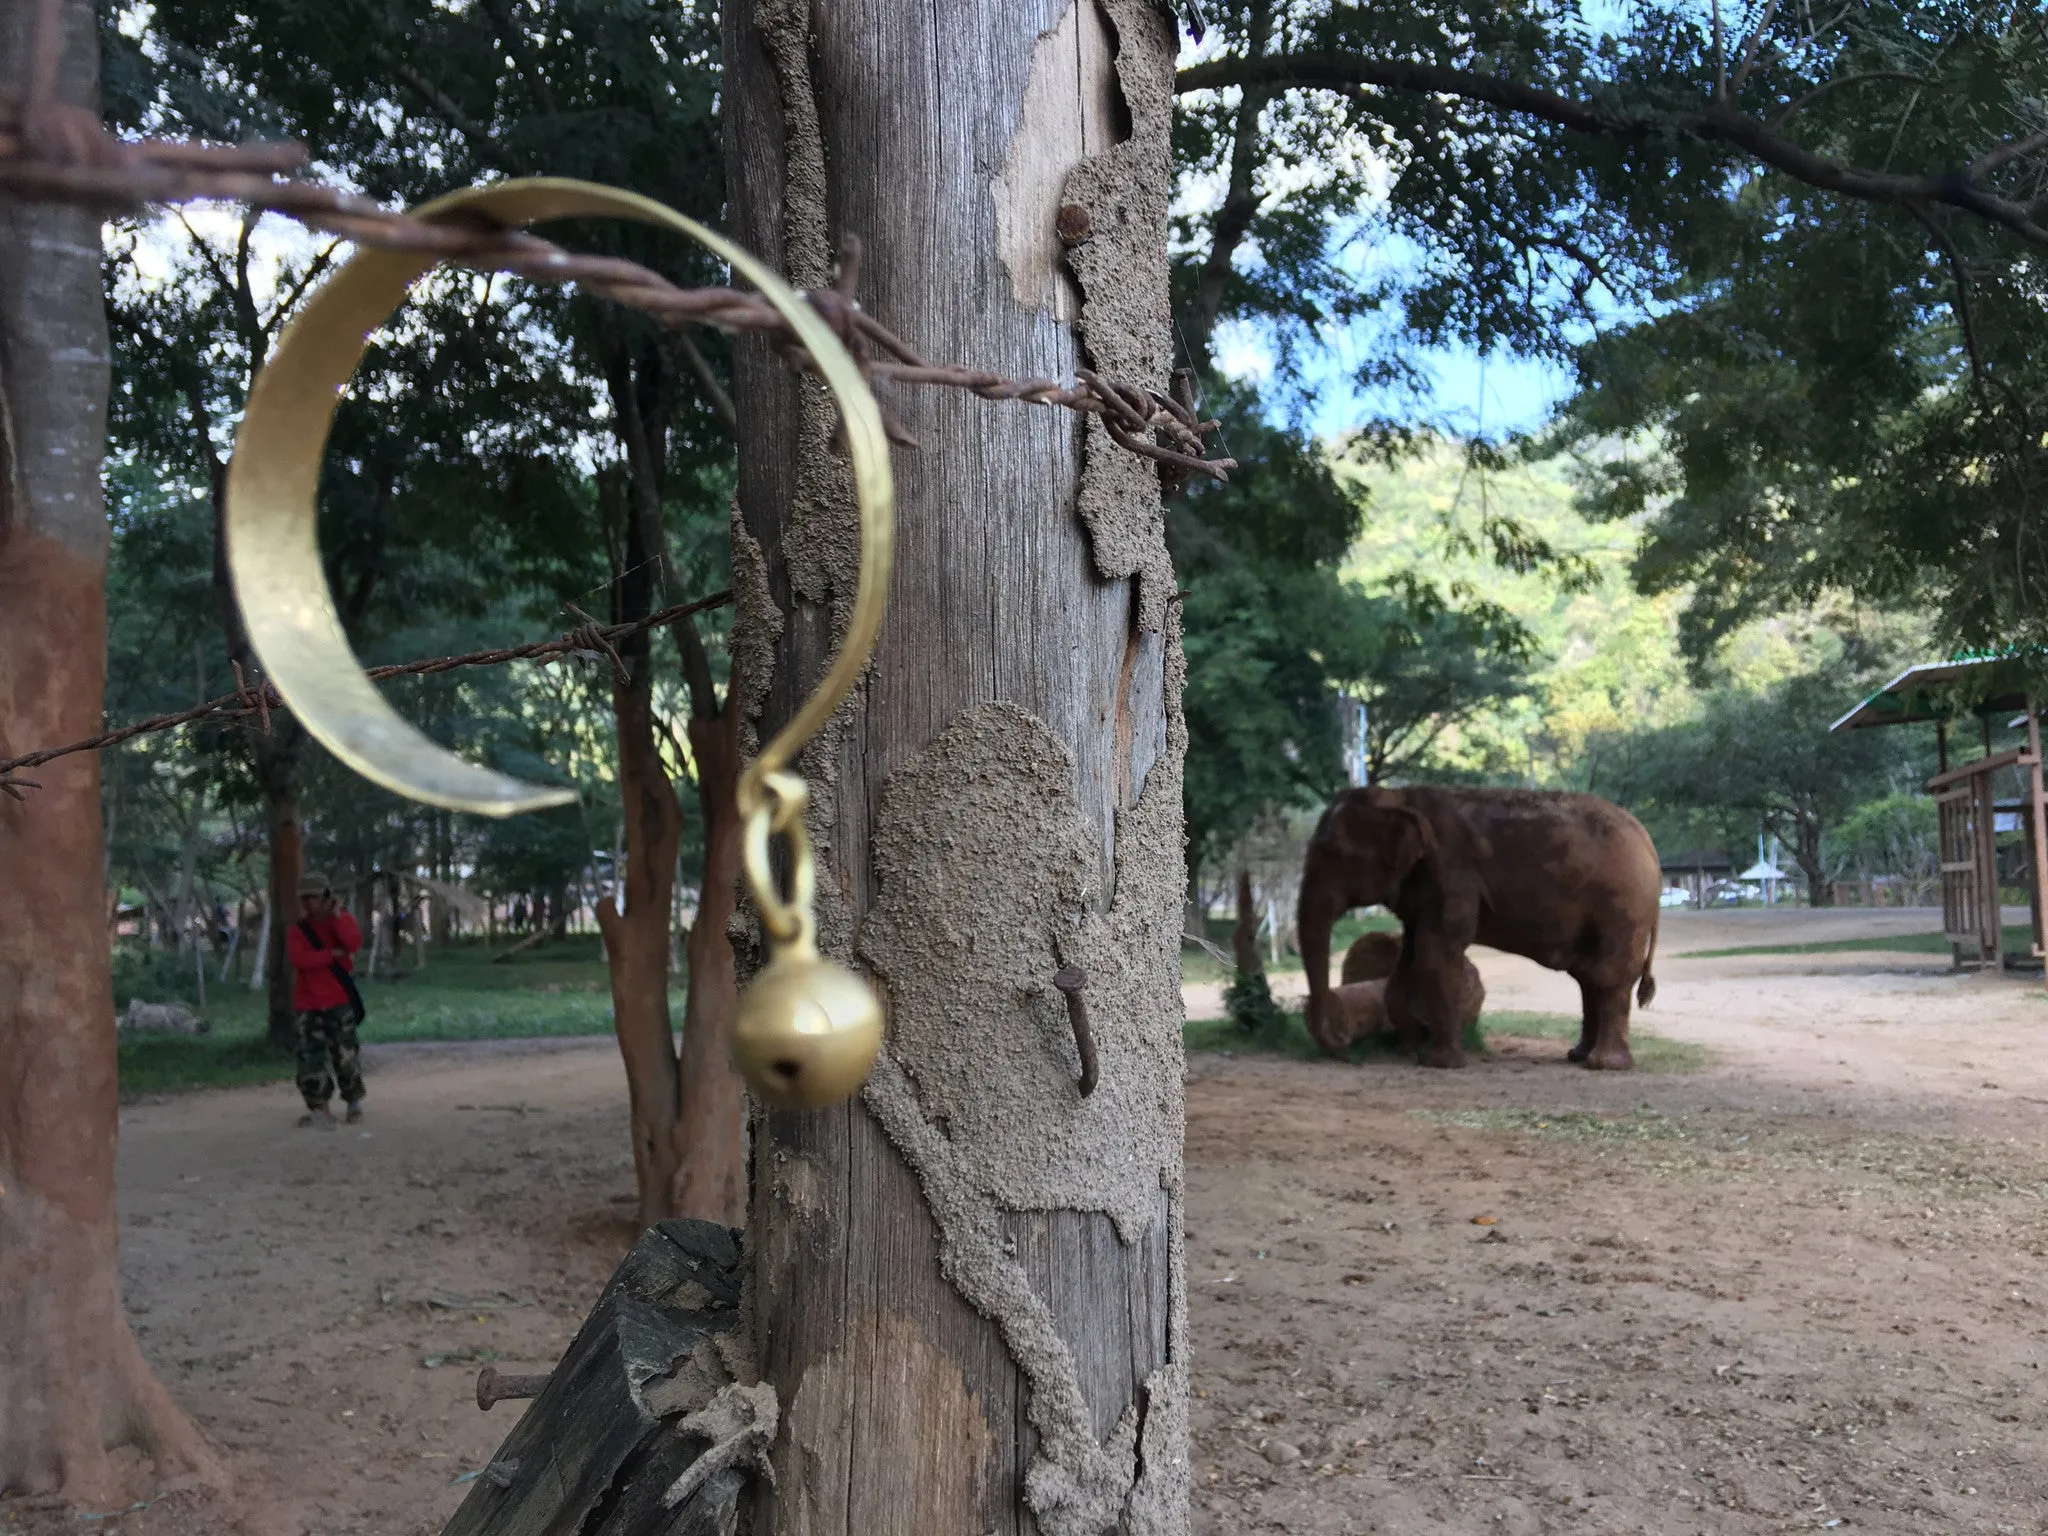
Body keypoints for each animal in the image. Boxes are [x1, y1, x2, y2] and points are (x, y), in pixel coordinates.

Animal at [1302, 794, 1654, 1073]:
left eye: (1337, 855)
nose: (1342, 1042)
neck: (1400, 798)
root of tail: (1648, 844)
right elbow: (1411, 956)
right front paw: (1411, 1046)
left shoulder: (1453, 875)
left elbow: (1436, 952)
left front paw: (1438, 1062)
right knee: (1587, 976)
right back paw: (1578, 1056)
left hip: (1621, 908)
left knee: (1607, 975)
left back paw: (1603, 1065)